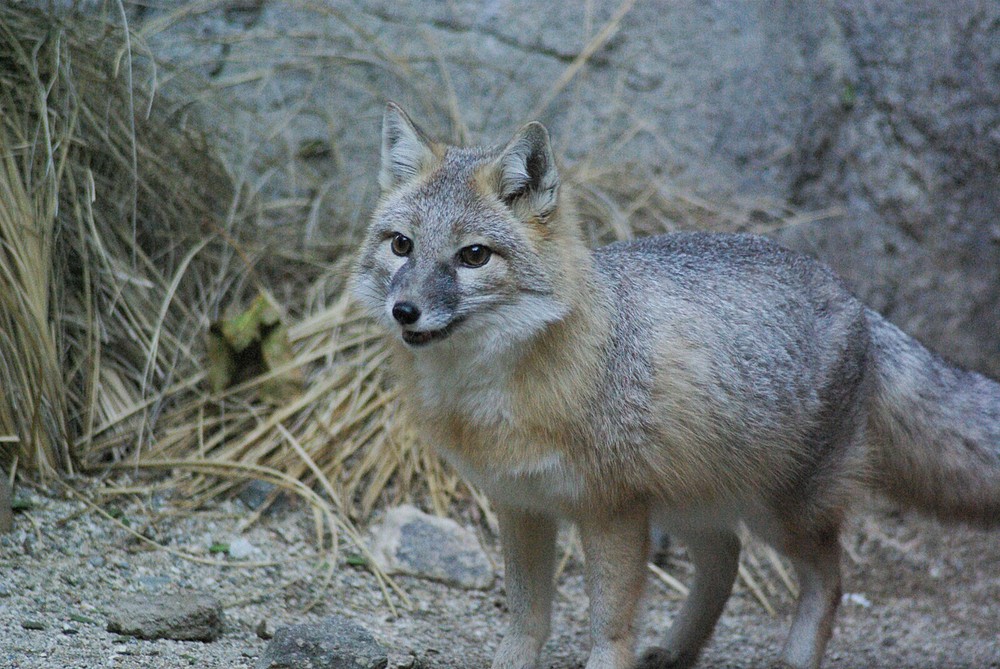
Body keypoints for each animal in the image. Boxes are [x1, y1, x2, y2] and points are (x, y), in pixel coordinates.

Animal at [351, 102, 1000, 669]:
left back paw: (793, 657)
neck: (496, 395)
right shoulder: (521, 505)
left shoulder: (610, 510)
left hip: (781, 511)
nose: (404, 311)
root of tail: (855, 300)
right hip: (693, 500)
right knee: (726, 561)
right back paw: (677, 650)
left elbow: (609, 627)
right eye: (402, 245)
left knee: (830, 576)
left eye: (473, 256)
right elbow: (525, 621)